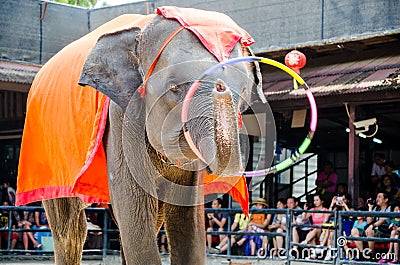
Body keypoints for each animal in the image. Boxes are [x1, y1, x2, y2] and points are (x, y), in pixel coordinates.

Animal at [22, 5, 266, 264]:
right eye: (174, 88)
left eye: (243, 90)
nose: (221, 86)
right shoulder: (122, 121)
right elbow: (136, 211)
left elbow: (187, 219)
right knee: (70, 229)